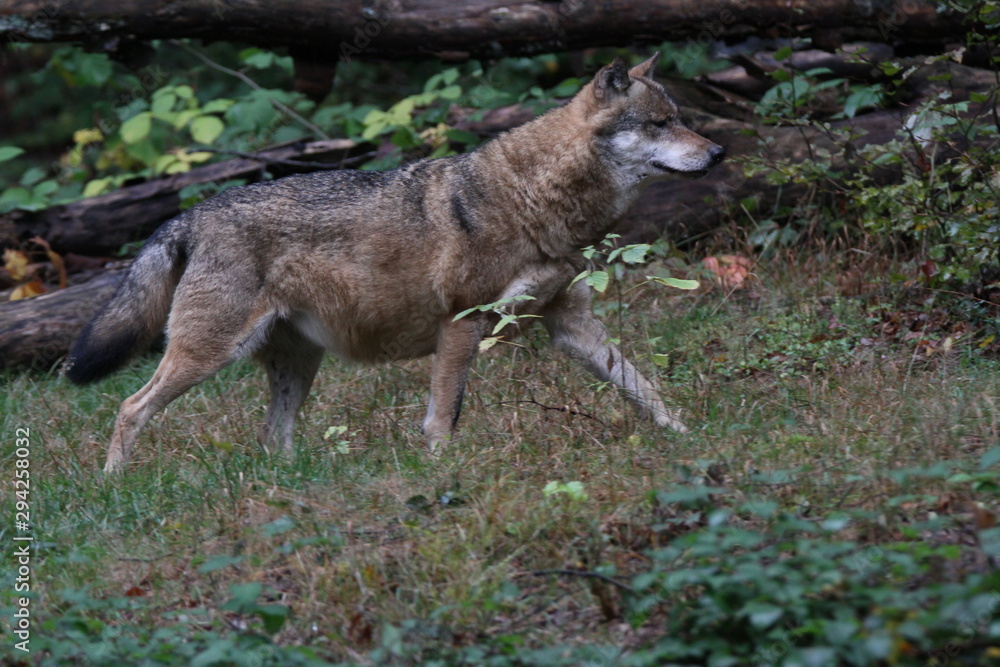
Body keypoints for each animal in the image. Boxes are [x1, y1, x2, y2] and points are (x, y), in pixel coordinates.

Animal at [65, 53, 725, 472]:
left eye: (683, 119)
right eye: (661, 123)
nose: (719, 151)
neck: (535, 200)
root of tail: (194, 213)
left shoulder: (571, 324)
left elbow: (643, 388)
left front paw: (688, 438)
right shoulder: (462, 323)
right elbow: (443, 416)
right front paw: (443, 473)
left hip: (298, 364)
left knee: (271, 440)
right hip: (207, 356)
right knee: (129, 407)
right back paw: (113, 485)